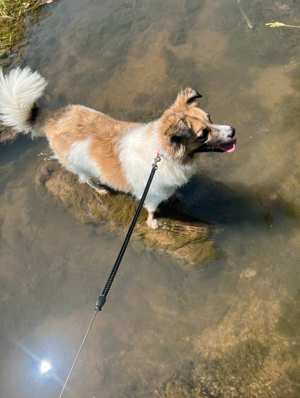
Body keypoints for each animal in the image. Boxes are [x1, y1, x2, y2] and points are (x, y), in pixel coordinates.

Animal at [0, 67, 237, 229]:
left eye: (209, 118)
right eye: (203, 134)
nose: (233, 131)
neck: (162, 155)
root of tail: (52, 119)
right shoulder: (150, 194)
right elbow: (152, 210)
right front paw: (153, 222)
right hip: (79, 167)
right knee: (86, 180)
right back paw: (101, 189)